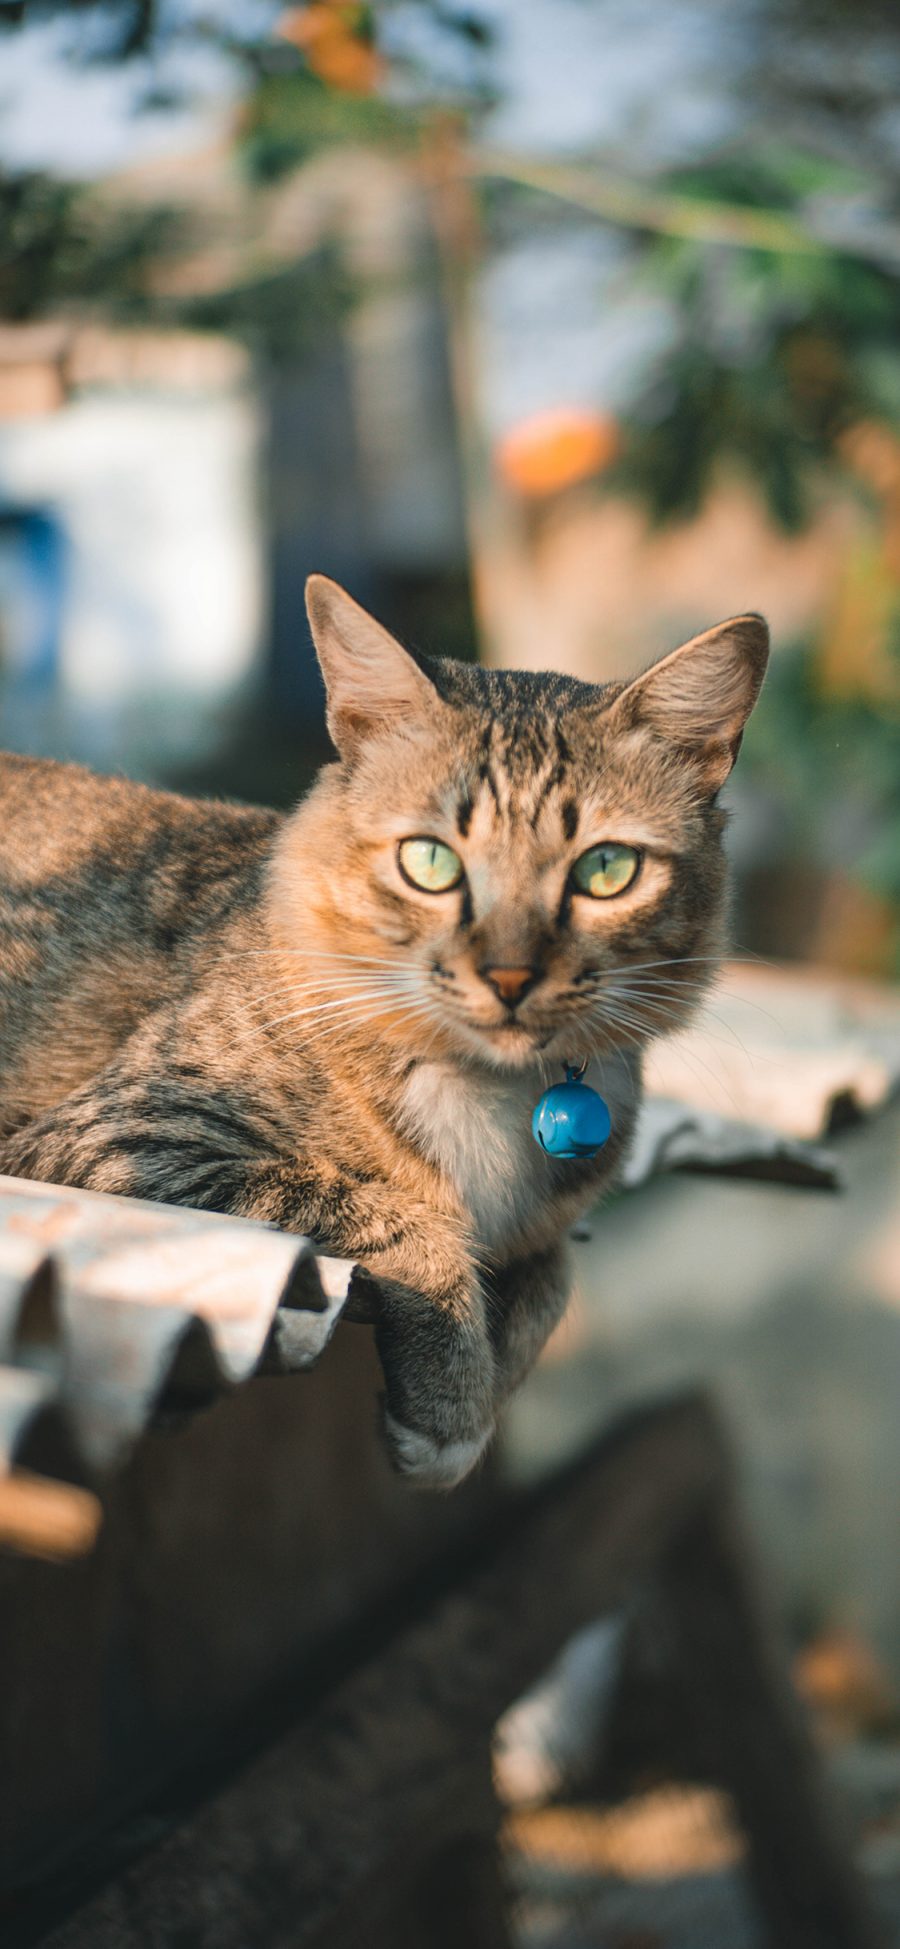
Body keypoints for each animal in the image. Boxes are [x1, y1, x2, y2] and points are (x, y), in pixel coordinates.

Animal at [1, 584, 767, 1481]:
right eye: (430, 862)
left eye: (605, 870)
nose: (510, 976)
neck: (487, 1086)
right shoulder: (111, 1138)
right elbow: (400, 1214)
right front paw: (450, 1404)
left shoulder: (551, 1225)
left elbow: (554, 1273)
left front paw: (482, 1388)